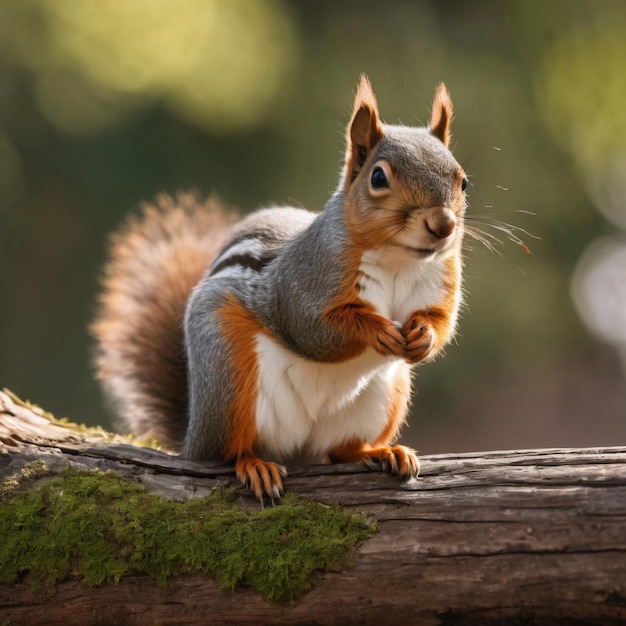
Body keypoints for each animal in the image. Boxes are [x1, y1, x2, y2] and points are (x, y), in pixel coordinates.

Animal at [91, 75, 464, 500]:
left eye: (463, 181)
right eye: (378, 178)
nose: (443, 225)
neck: (398, 260)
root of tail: (191, 437)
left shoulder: (441, 282)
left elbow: (441, 320)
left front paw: (423, 336)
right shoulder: (301, 284)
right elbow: (313, 328)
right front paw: (377, 331)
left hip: (384, 399)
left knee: (343, 450)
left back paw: (382, 451)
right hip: (227, 374)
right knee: (225, 453)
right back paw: (253, 465)